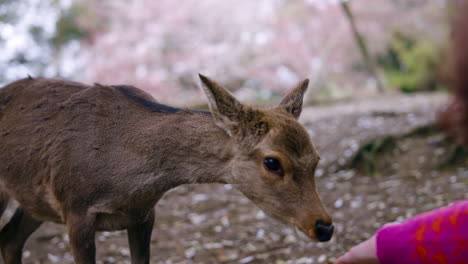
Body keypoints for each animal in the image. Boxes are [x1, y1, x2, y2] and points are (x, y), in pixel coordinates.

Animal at [0, 75, 334, 264]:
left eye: (317, 158)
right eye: (272, 162)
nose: (324, 227)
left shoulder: (143, 215)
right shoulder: (76, 209)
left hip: (37, 203)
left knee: (9, 237)